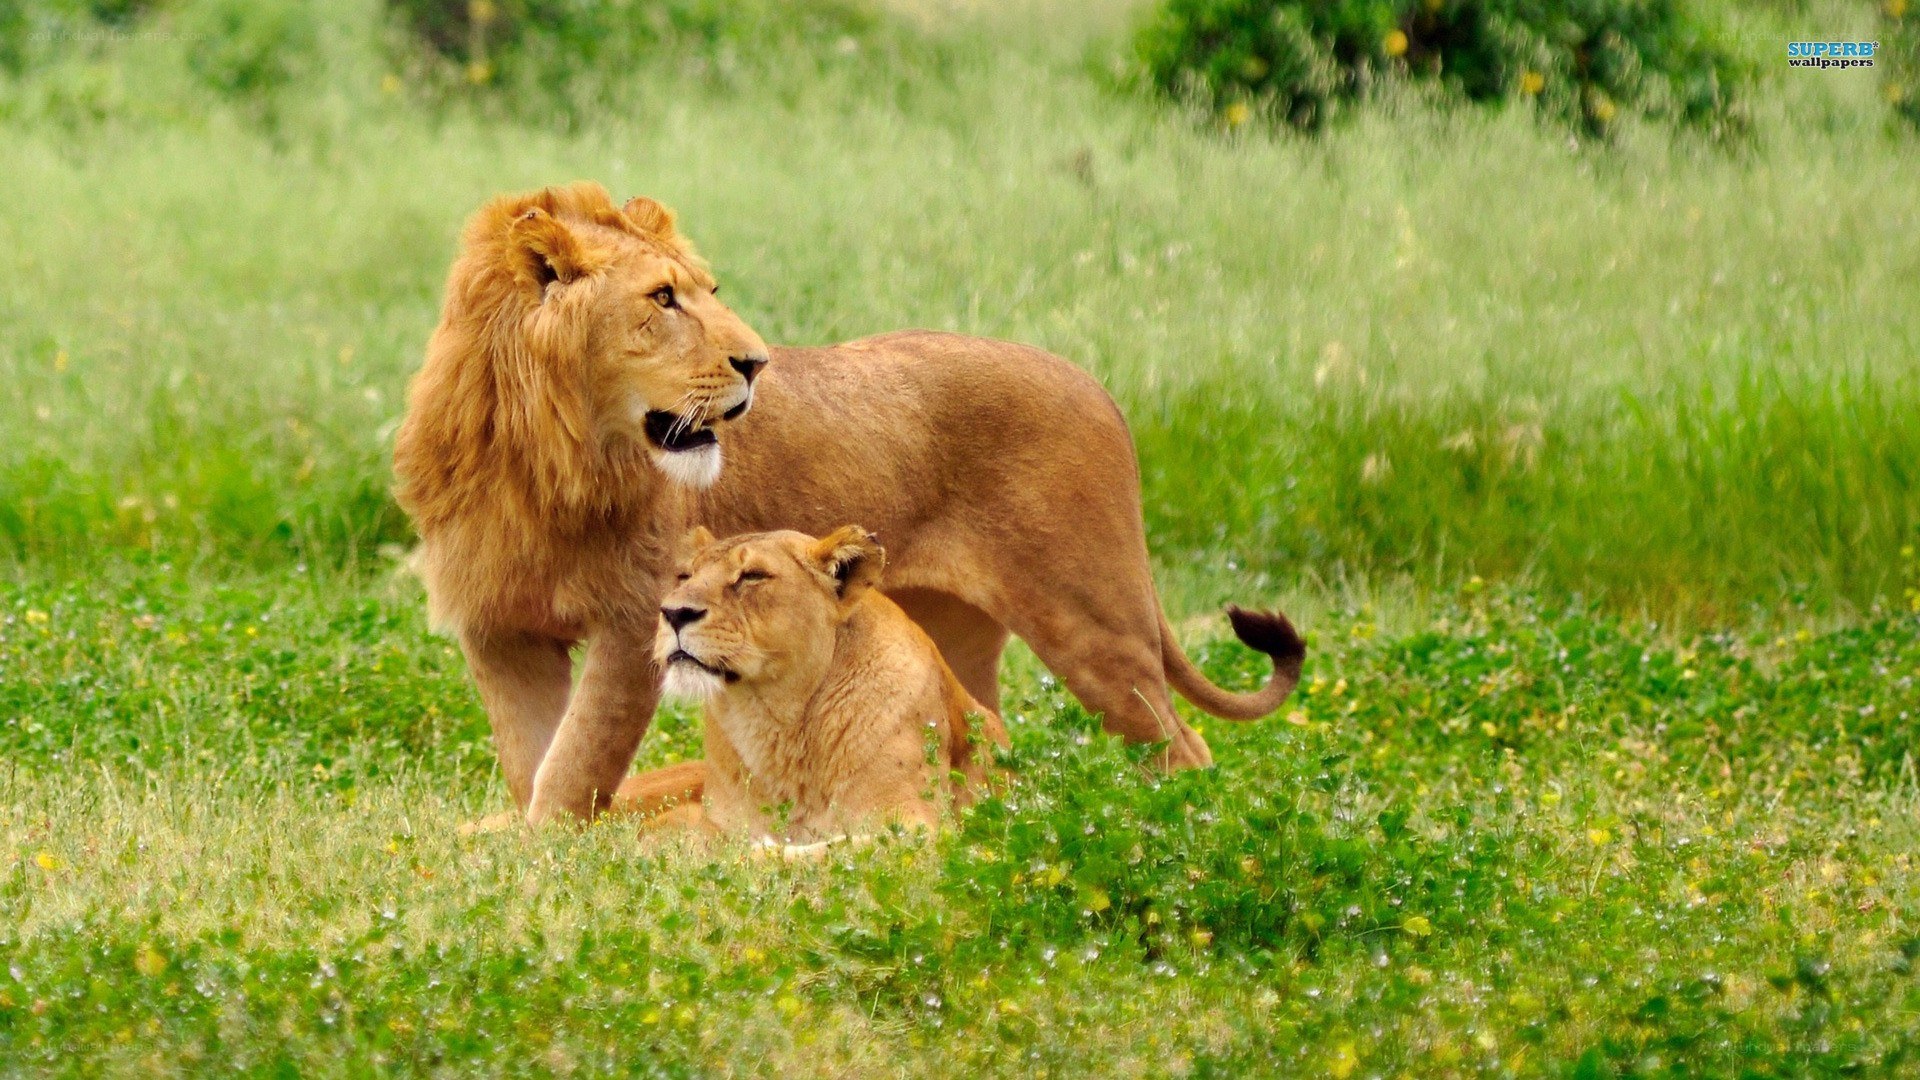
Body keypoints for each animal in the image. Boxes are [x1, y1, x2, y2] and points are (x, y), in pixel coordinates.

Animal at [612, 525, 1005, 848]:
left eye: (752, 576)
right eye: (685, 576)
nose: (673, 613)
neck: (777, 723)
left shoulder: (915, 826)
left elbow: (832, 848)